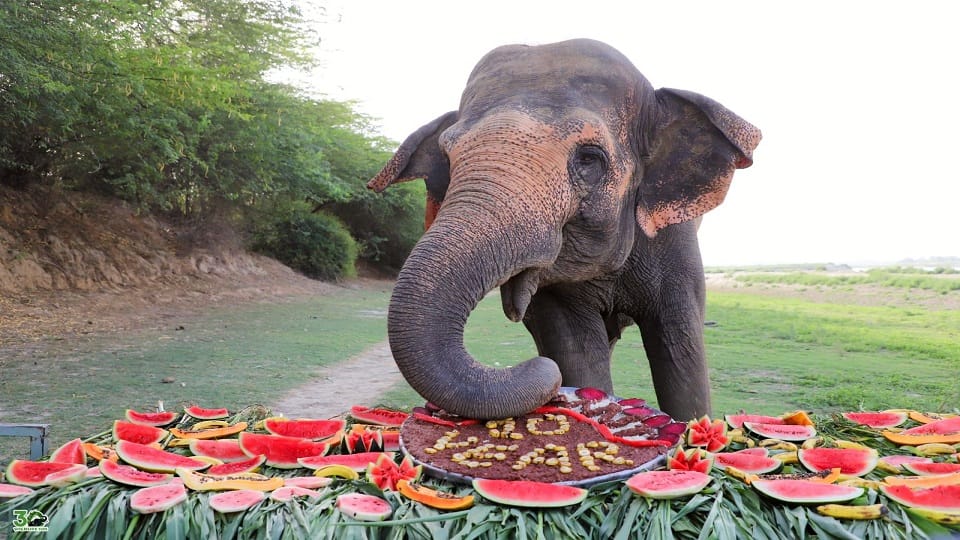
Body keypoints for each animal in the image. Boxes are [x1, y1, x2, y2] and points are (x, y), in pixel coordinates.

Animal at [367, 39, 760, 422]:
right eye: (447, 160)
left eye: (589, 158)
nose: (541, 371)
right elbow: (577, 351)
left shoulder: (675, 243)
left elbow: (680, 351)